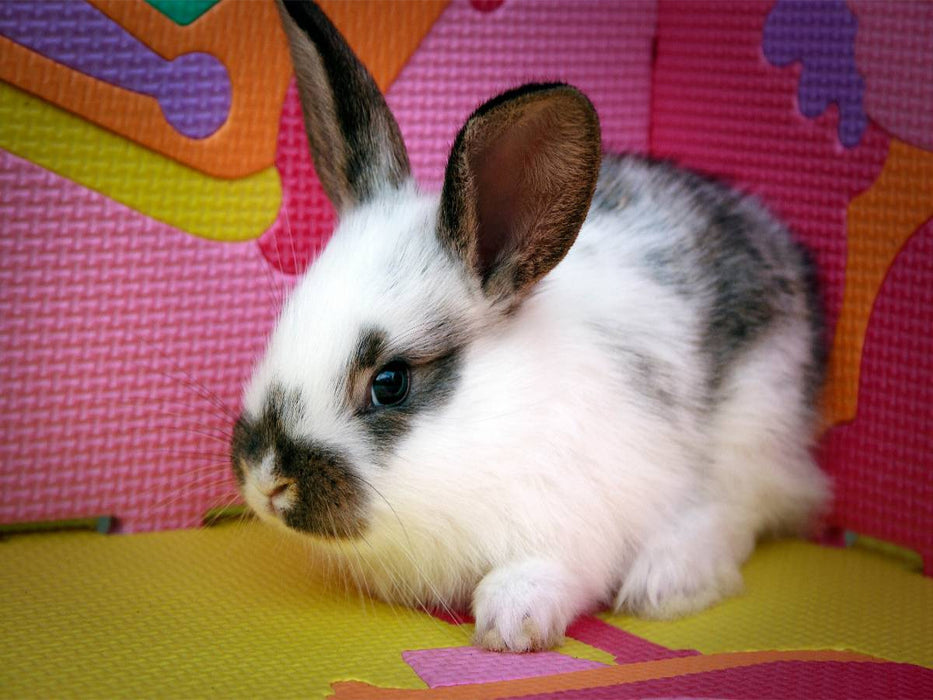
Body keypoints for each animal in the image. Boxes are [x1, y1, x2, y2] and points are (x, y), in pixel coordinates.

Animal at [230, 0, 831, 653]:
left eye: (390, 383)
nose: (267, 479)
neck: (500, 421)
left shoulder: (574, 528)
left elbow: (541, 574)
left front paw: (510, 627)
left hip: (753, 422)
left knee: (738, 513)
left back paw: (667, 581)